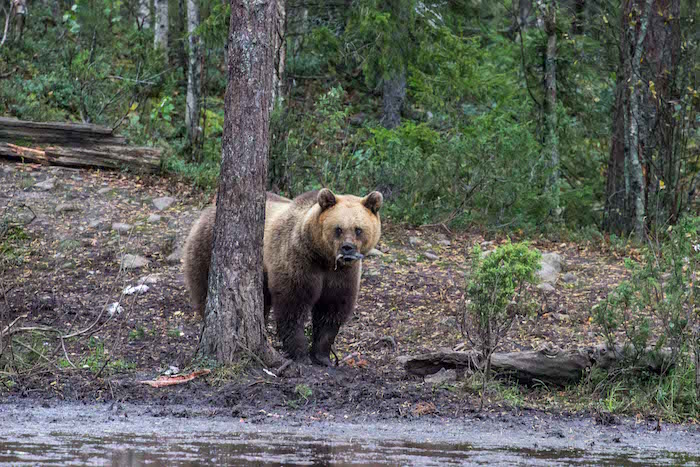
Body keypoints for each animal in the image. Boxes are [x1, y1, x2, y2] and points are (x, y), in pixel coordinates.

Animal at [182, 188, 382, 368]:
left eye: (358, 229)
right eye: (338, 228)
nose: (347, 248)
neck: (322, 257)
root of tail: (209, 209)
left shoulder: (341, 275)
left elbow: (331, 309)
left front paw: (323, 356)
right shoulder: (298, 261)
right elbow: (293, 306)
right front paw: (301, 355)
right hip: (205, 249)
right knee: (203, 287)